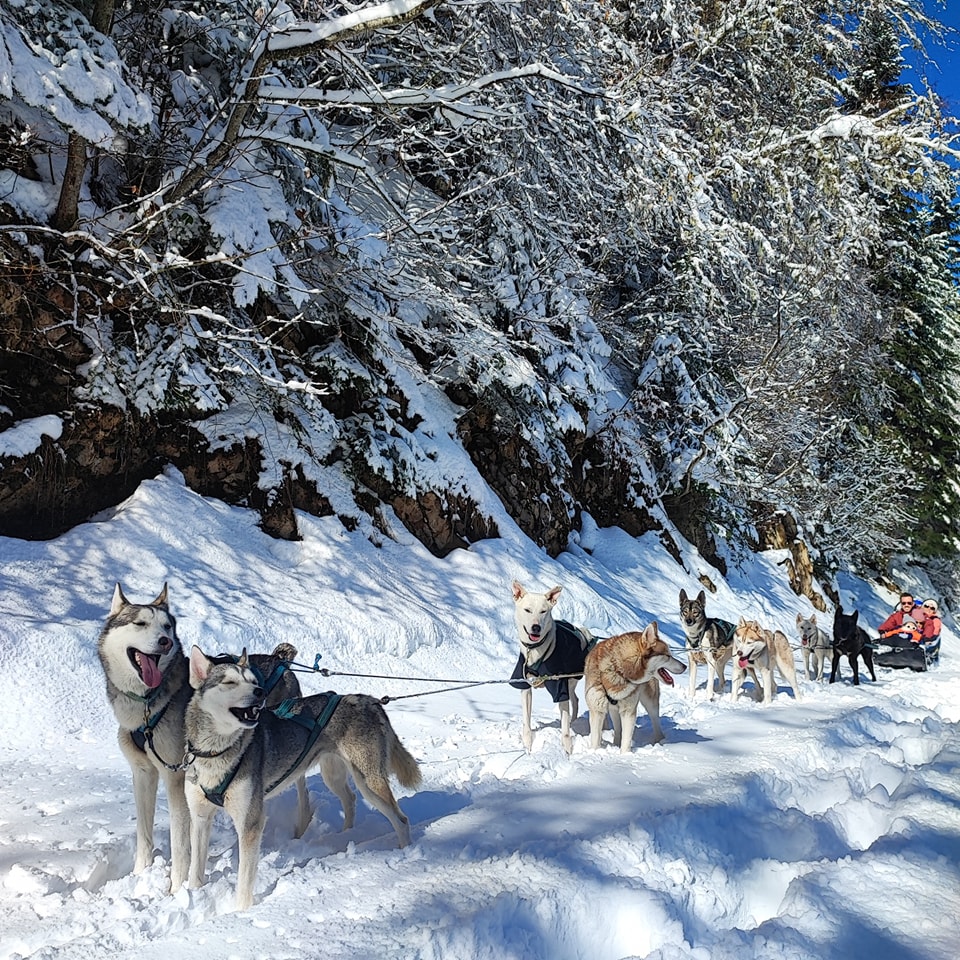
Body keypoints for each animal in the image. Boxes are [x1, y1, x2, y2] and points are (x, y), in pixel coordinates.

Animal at [97, 584, 300, 892]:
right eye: (140, 623)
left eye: (167, 626)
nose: (165, 641)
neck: (147, 705)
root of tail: (280, 659)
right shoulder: (143, 773)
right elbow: (144, 832)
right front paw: (140, 874)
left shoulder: (176, 777)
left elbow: (181, 843)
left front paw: (176, 888)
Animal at [184, 644, 420, 908]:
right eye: (229, 682)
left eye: (253, 681)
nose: (260, 692)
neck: (216, 753)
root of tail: (370, 701)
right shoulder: (200, 818)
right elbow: (195, 869)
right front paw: (192, 894)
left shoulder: (250, 823)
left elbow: (244, 882)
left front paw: (241, 912)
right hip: (333, 775)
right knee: (350, 799)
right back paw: (346, 834)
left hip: (369, 782)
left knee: (401, 819)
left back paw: (405, 852)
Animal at [510, 580, 592, 752]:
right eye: (527, 610)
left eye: (543, 611)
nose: (536, 627)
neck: (535, 650)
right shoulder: (524, 685)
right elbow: (526, 721)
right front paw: (527, 745)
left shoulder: (560, 688)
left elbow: (565, 728)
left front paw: (567, 750)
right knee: (575, 699)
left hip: (573, 680)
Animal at [580, 624, 688, 752]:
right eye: (667, 656)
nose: (685, 666)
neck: (617, 669)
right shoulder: (597, 711)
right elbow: (596, 739)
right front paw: (596, 751)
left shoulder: (628, 711)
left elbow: (626, 740)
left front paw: (625, 754)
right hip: (613, 710)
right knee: (618, 728)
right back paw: (616, 744)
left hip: (650, 702)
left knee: (655, 721)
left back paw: (660, 741)